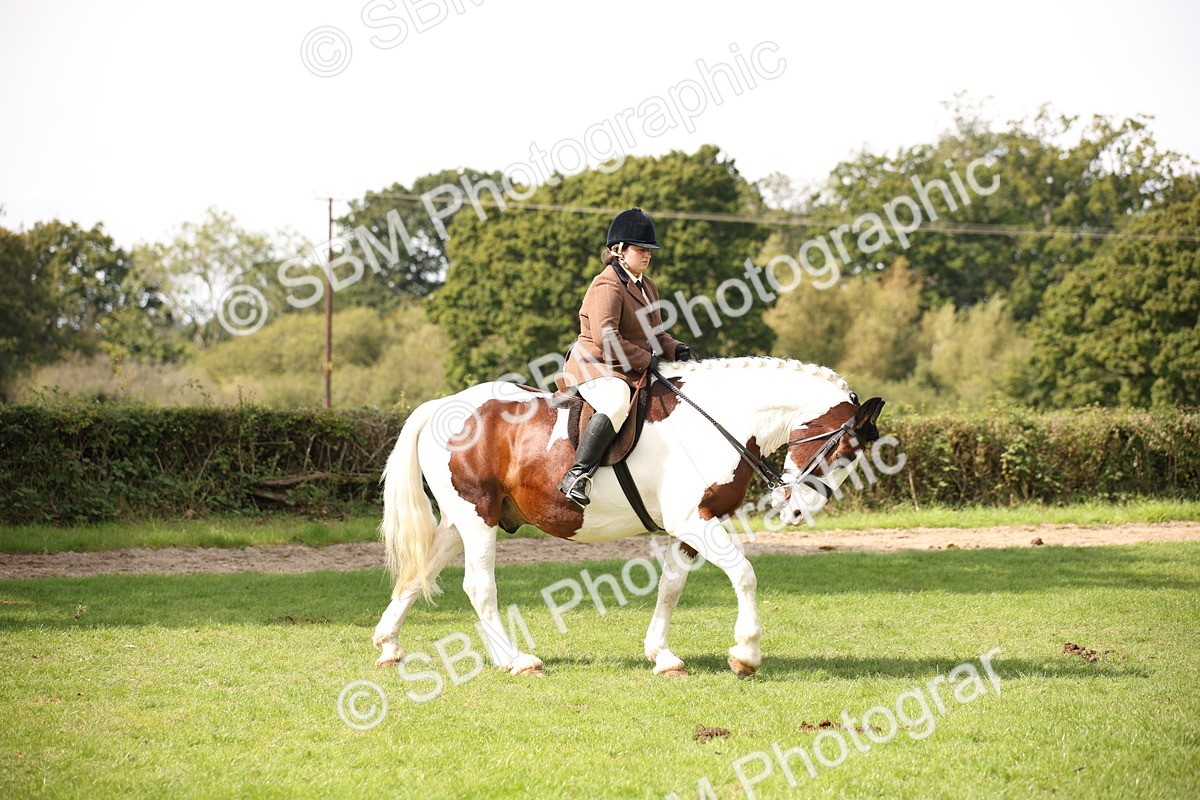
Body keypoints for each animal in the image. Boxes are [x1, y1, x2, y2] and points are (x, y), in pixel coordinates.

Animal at [372, 357, 885, 678]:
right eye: (842, 449)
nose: (797, 511)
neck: (721, 420)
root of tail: (440, 406)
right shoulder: (695, 521)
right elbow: (744, 574)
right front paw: (746, 654)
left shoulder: (690, 526)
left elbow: (671, 587)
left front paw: (662, 655)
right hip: (477, 517)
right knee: (478, 587)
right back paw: (516, 660)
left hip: (463, 519)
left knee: (420, 573)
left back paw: (389, 645)